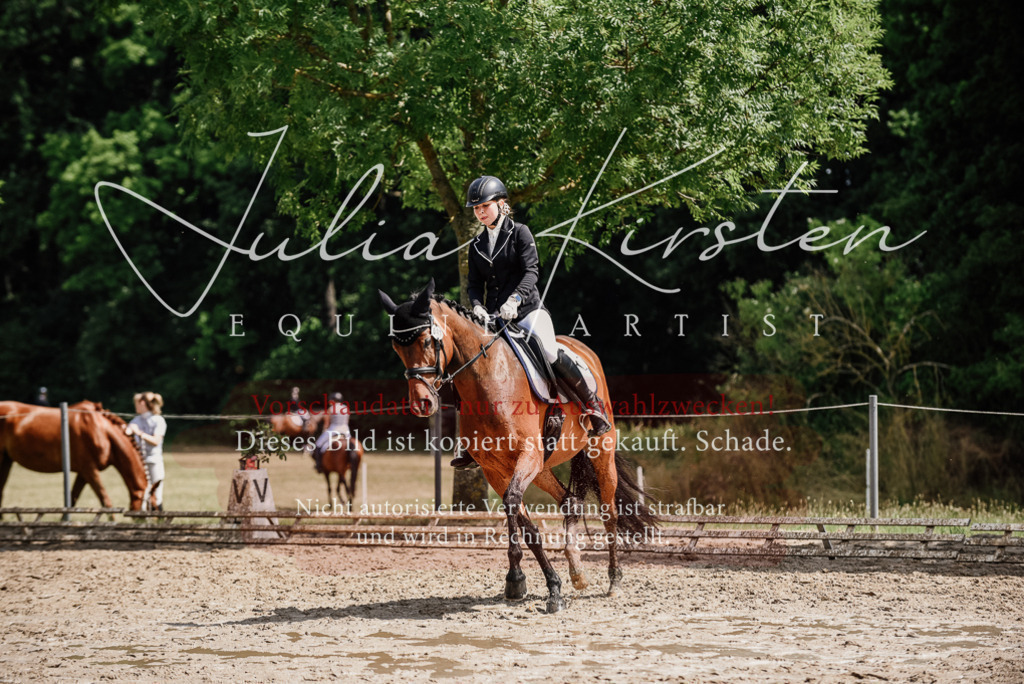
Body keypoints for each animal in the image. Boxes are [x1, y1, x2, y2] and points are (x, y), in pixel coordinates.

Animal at [0, 400, 149, 511]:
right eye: (150, 505)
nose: (154, 519)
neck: (101, 431)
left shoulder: (84, 472)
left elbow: (72, 499)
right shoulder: (89, 470)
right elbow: (105, 500)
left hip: (6, 461)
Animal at [379, 280, 656, 613]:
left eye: (426, 341)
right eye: (397, 348)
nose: (422, 403)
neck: (489, 381)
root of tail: (582, 349)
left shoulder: (527, 457)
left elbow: (514, 505)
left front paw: (529, 584)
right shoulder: (495, 469)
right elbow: (525, 524)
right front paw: (531, 584)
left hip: (599, 451)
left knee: (609, 513)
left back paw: (614, 580)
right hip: (543, 466)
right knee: (571, 501)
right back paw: (577, 570)